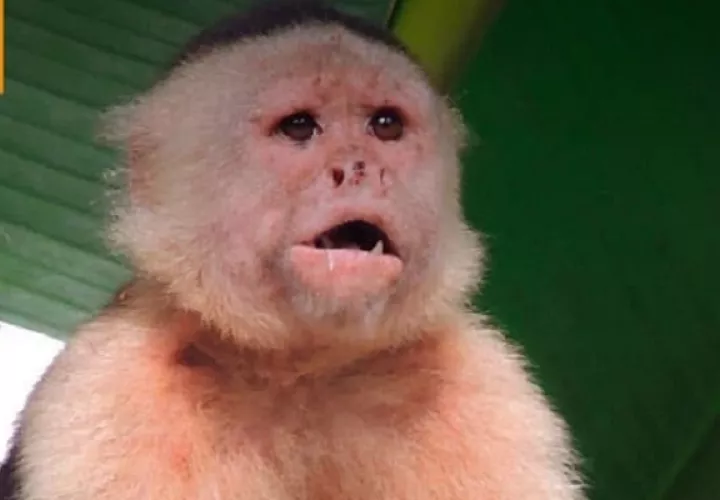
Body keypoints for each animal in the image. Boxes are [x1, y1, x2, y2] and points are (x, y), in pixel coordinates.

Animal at [0, 1, 586, 498]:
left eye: (385, 125)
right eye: (300, 126)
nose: (359, 169)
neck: (302, 375)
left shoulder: (492, 394)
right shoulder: (103, 393)